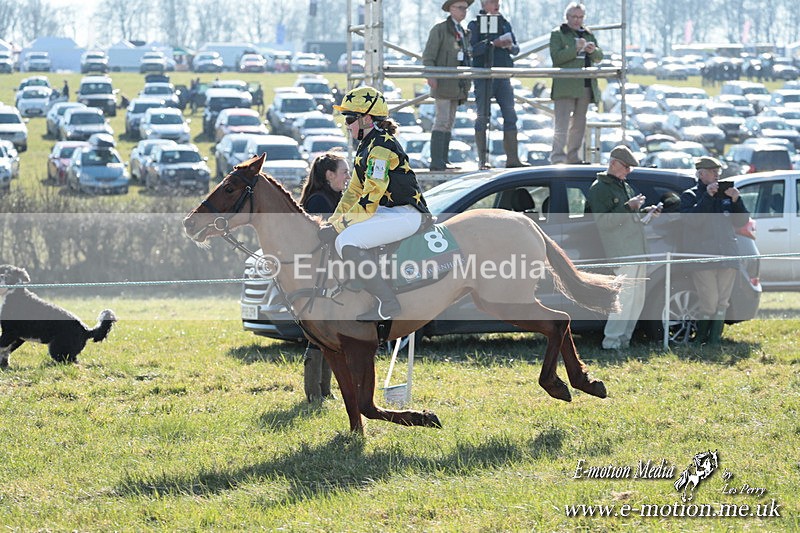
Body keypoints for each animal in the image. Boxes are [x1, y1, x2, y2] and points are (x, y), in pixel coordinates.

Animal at [183, 153, 621, 434]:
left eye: (230, 188)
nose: (189, 223)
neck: (310, 260)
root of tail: (527, 222)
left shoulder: (360, 343)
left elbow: (367, 403)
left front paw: (424, 417)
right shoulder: (333, 348)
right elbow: (351, 403)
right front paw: (355, 443)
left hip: (504, 301)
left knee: (559, 321)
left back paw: (564, 384)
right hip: (500, 301)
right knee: (560, 323)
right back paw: (584, 382)